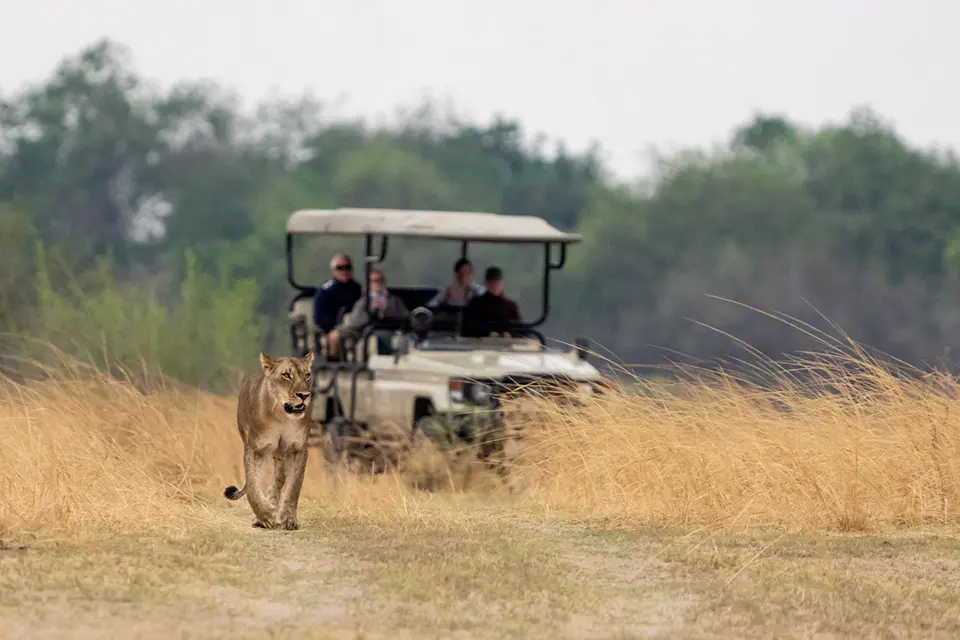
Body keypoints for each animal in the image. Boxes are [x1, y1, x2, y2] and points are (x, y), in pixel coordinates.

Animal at [224, 351, 315, 530]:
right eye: (286, 375)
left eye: (307, 375)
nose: (304, 395)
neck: (281, 416)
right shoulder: (255, 449)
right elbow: (252, 486)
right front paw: (265, 516)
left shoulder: (298, 449)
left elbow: (294, 487)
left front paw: (288, 519)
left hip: (281, 455)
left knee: (278, 480)